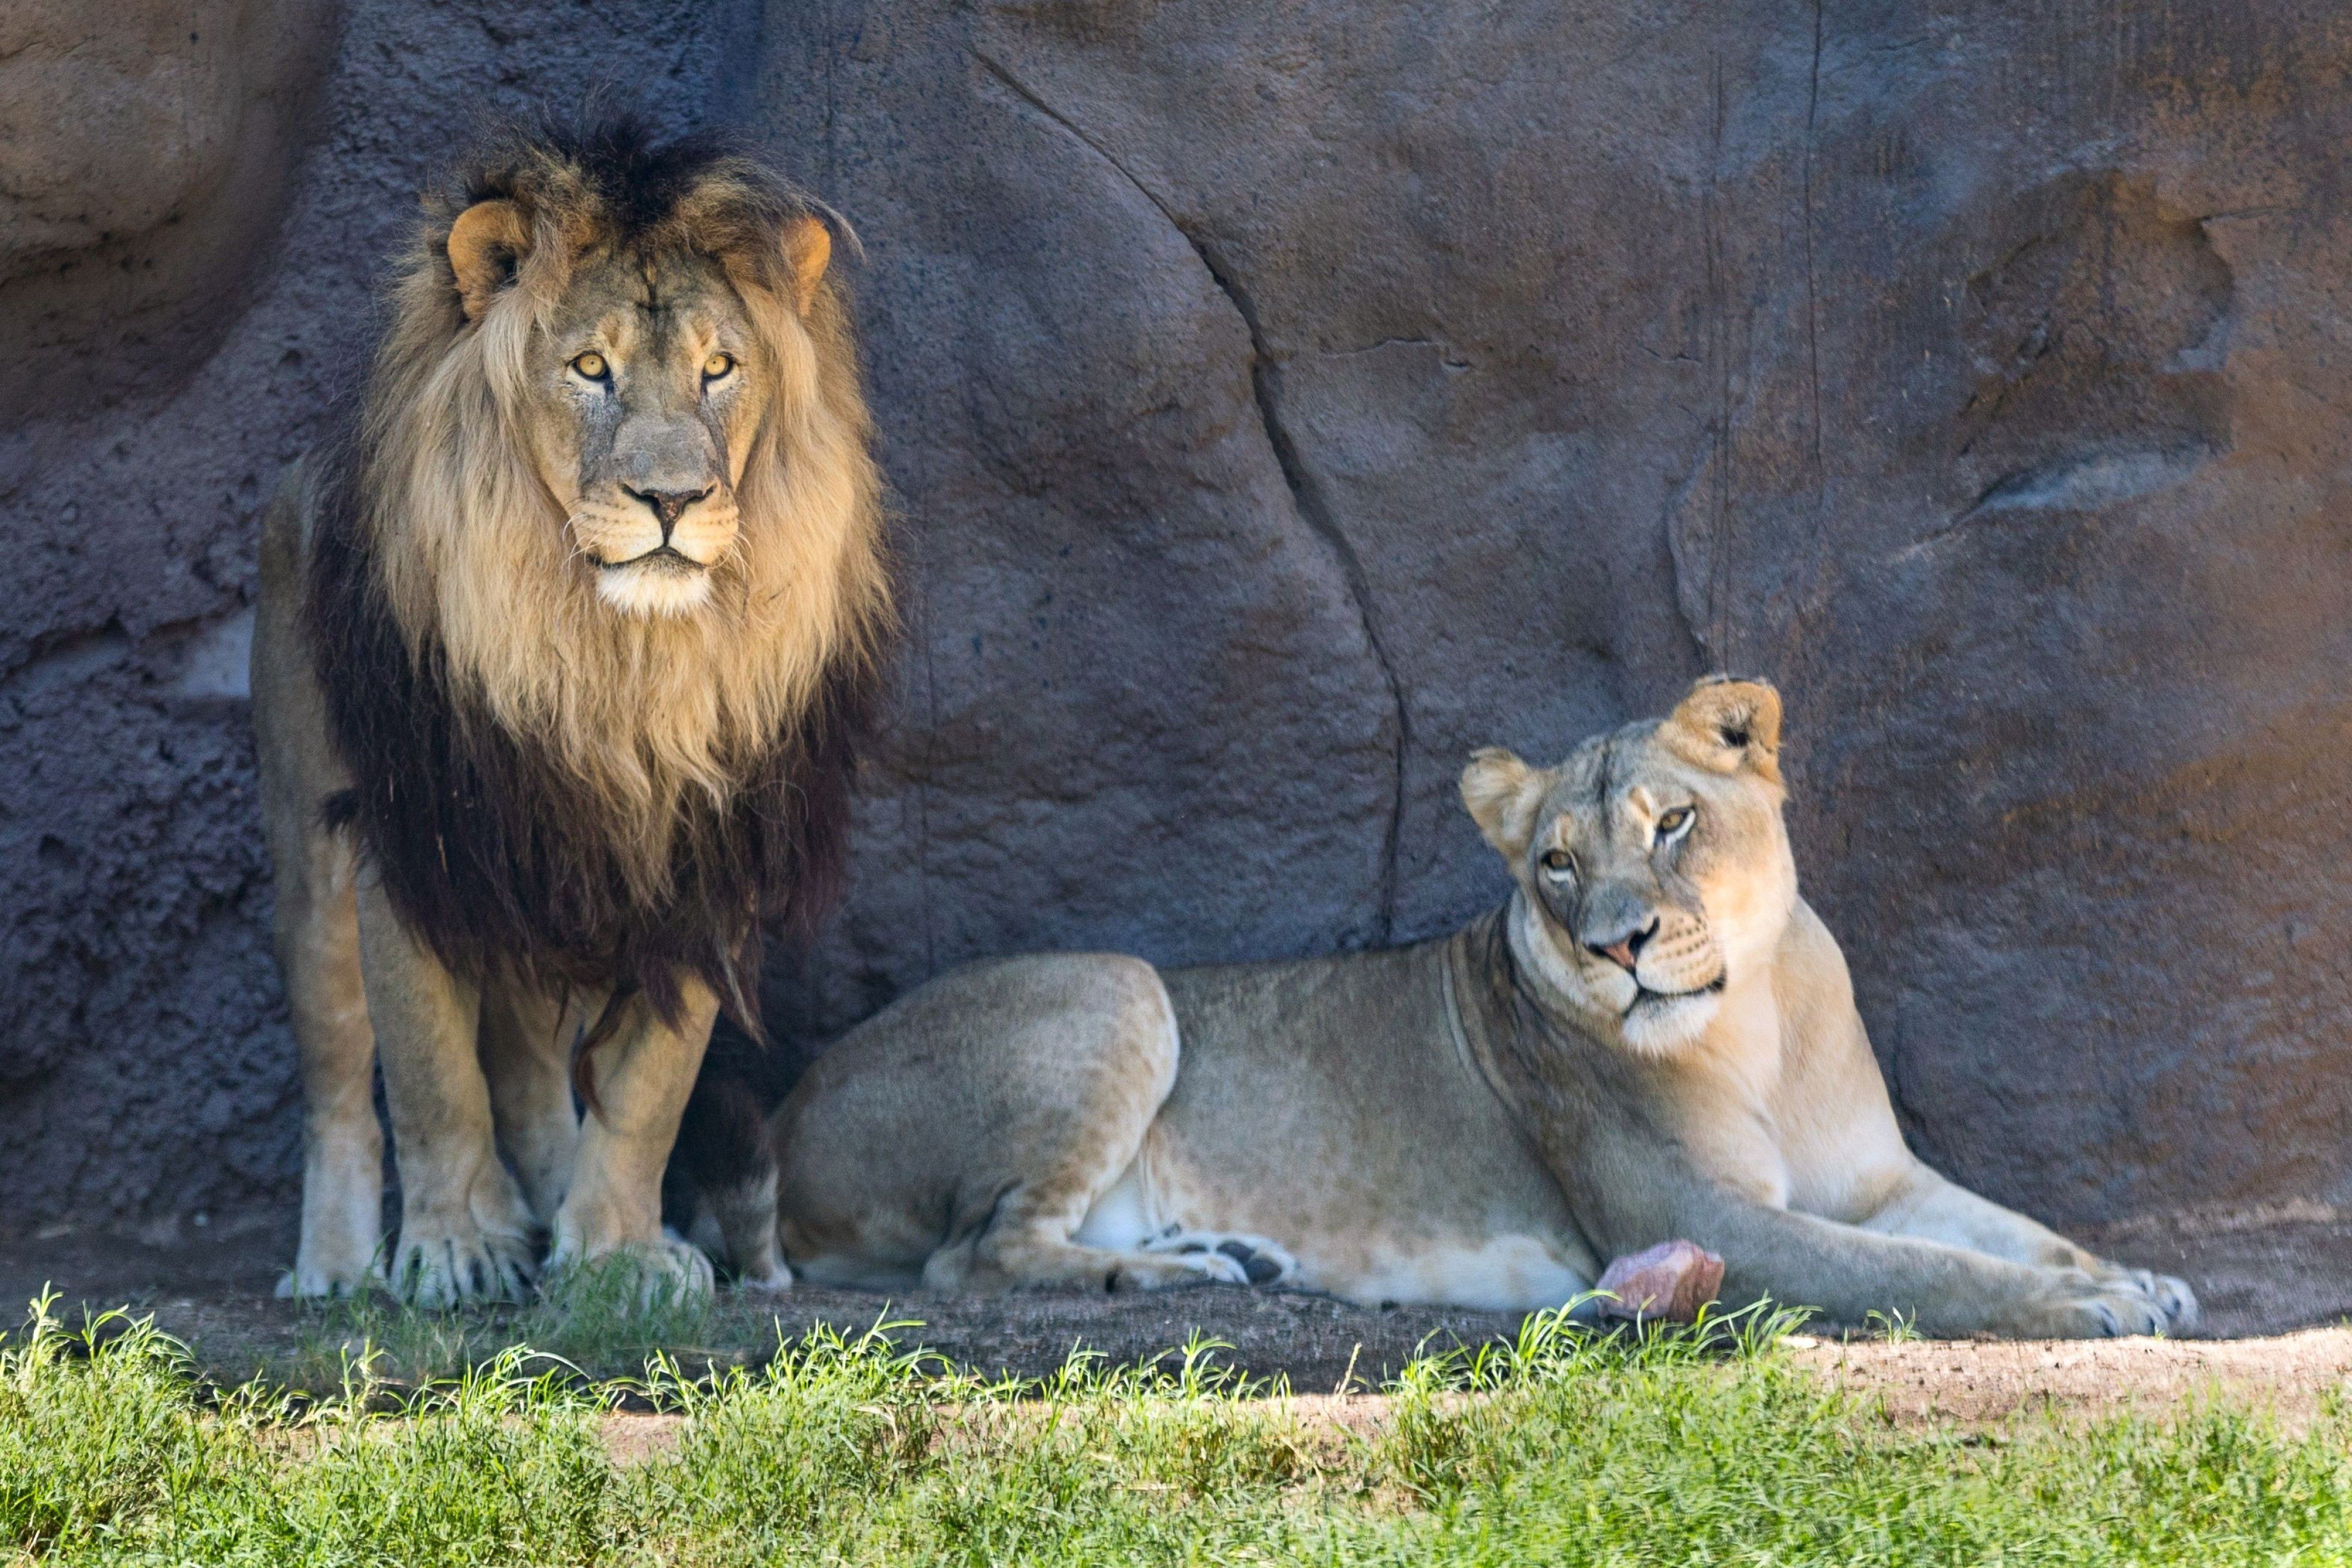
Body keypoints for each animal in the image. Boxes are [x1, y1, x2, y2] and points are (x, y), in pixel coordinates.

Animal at [252, 116, 890, 1305]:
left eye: (719, 369)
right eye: (591, 368)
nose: (673, 500)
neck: (609, 659)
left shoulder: (703, 860)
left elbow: (648, 1086)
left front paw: (617, 1254)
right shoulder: (413, 832)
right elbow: (430, 1071)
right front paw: (454, 1250)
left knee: (535, 1066)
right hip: (311, 850)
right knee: (341, 1074)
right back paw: (341, 1266)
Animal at [687, 678, 2195, 1338]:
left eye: (1676, 821)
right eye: (1558, 865)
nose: (1622, 945)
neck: (1757, 1019)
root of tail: (800, 1100)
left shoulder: (1879, 1181)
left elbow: (1997, 1228)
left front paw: (2137, 1276)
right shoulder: (1690, 1223)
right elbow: (1929, 1274)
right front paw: (2096, 1307)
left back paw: (1230, 1255)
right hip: (1115, 984)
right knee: (974, 1259)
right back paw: (1179, 1274)